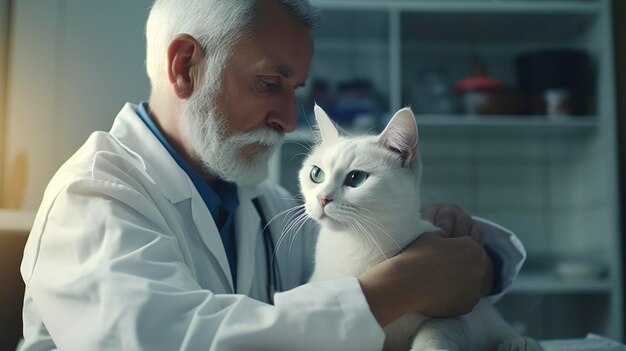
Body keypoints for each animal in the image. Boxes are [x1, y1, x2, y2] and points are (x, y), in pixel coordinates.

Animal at [298, 106, 540, 351]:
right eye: (316, 174)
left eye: (356, 178)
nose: (322, 198)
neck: (354, 245)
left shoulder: (450, 317)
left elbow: (435, 336)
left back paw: (519, 342)